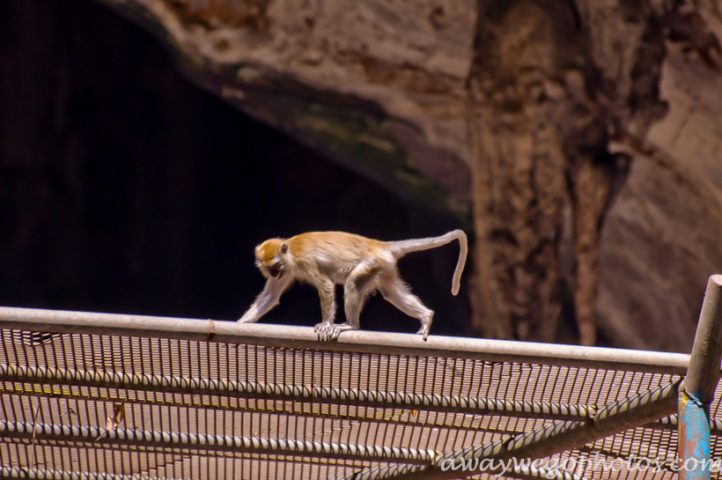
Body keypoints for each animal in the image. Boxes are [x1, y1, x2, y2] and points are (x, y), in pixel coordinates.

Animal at [236, 230, 466, 340]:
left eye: (275, 266)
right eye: (269, 269)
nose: (274, 274)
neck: (290, 250)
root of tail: (380, 245)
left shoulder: (304, 261)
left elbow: (326, 286)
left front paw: (325, 324)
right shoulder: (288, 270)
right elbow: (271, 297)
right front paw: (241, 323)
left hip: (373, 262)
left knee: (353, 282)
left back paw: (350, 325)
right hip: (385, 267)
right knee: (391, 292)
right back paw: (426, 317)